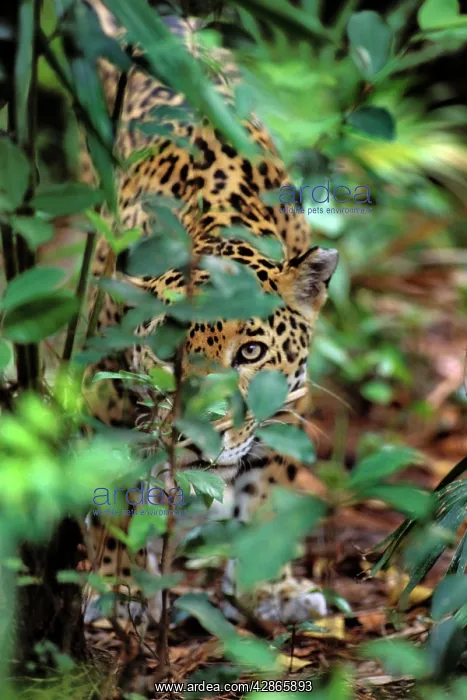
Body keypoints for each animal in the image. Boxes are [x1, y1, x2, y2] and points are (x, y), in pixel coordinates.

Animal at [81, 0, 338, 634]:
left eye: (250, 352)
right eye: (165, 353)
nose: (201, 435)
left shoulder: (286, 406)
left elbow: (266, 495)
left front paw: (269, 587)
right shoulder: (103, 400)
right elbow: (111, 503)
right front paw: (120, 589)